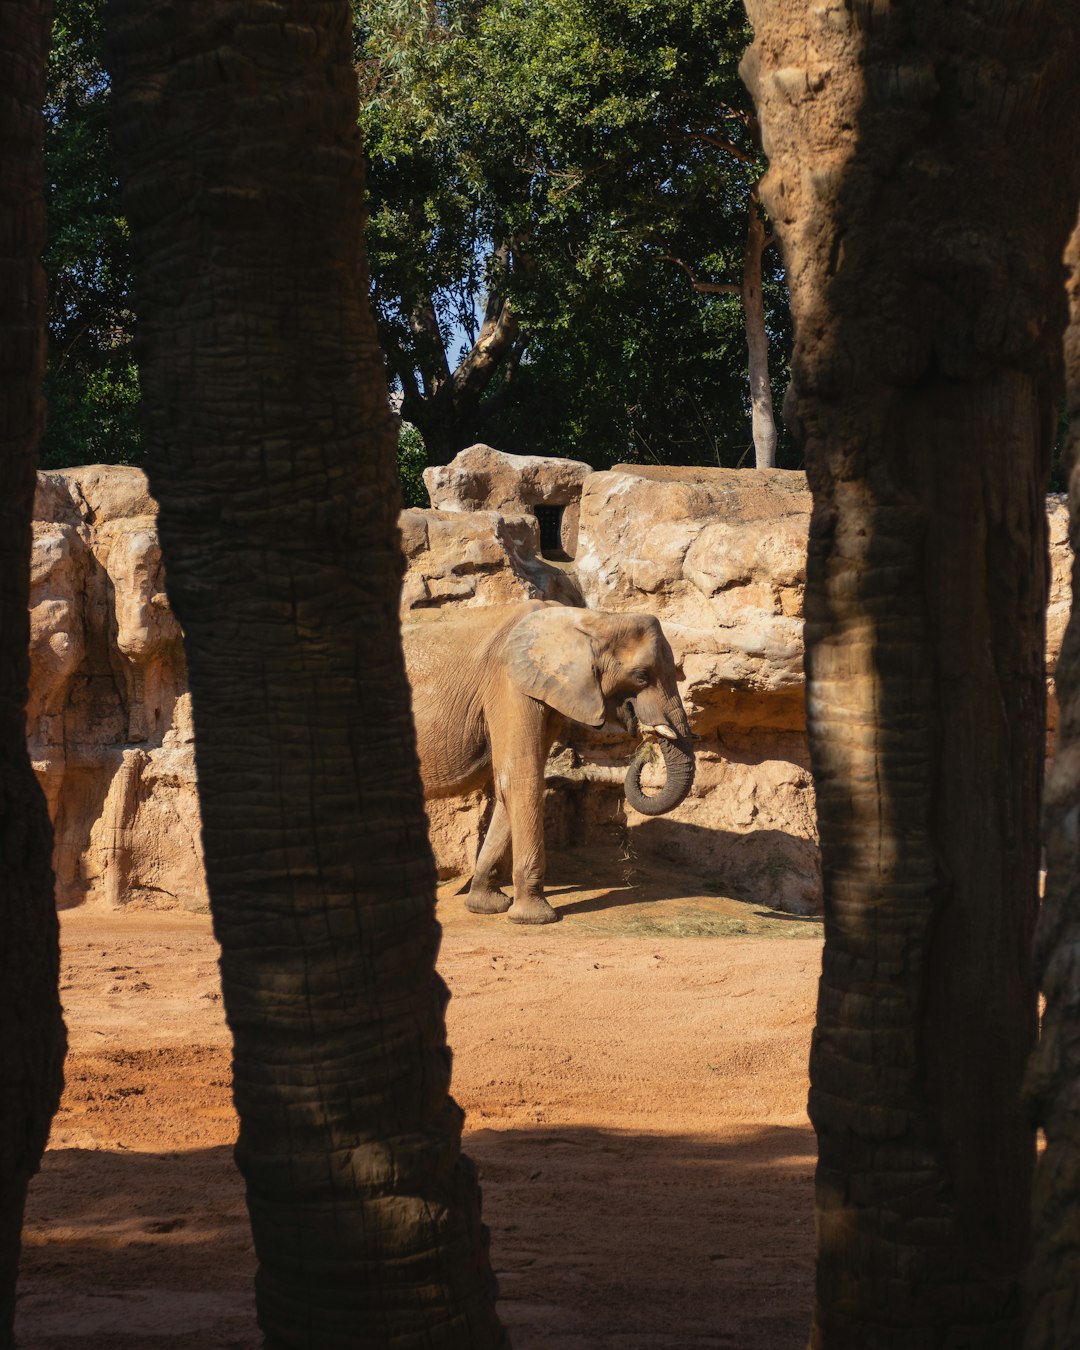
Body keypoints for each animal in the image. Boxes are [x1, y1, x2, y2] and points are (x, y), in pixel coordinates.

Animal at [399, 604, 696, 928]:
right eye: (642, 676)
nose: (645, 746)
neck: (592, 620)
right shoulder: (509, 684)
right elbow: (521, 778)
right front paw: (537, 918)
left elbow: (511, 784)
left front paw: (487, 906)